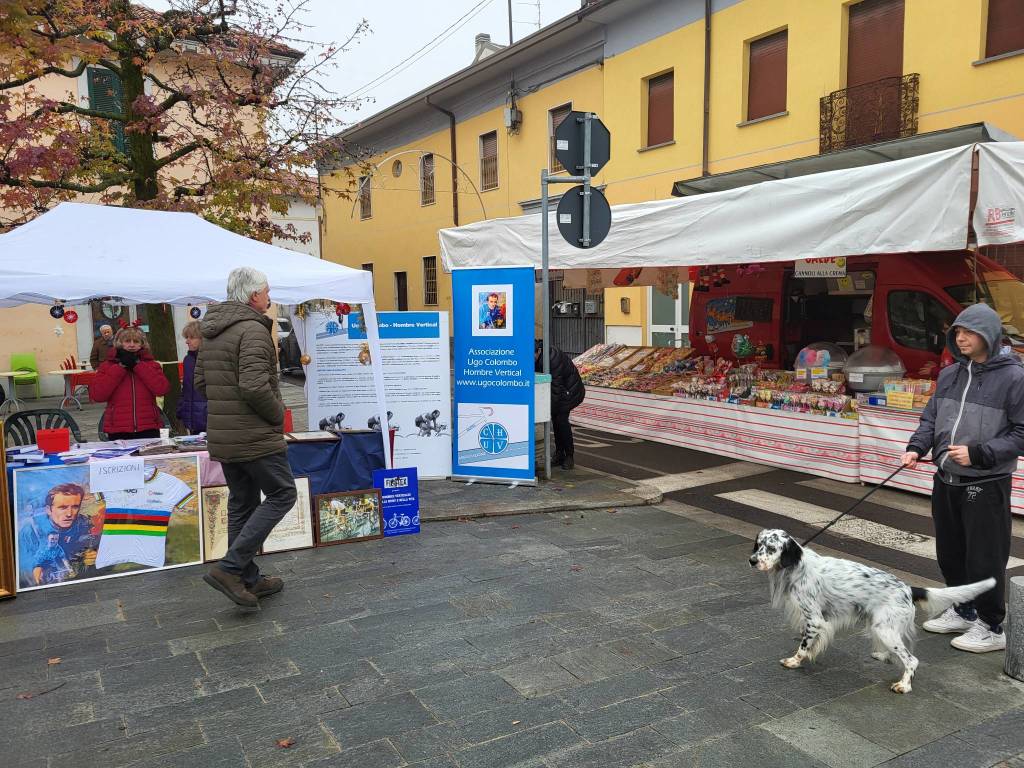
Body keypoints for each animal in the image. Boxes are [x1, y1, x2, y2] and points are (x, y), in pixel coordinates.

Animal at [749, 528, 995, 696]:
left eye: (771, 549)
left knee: (911, 660)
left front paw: (794, 661)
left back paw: (903, 685)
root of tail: (908, 588)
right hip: (884, 627)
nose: (751, 560)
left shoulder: (815, 619)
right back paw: (884, 655)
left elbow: (803, 645)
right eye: (758, 544)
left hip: (884, 629)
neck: (797, 567)